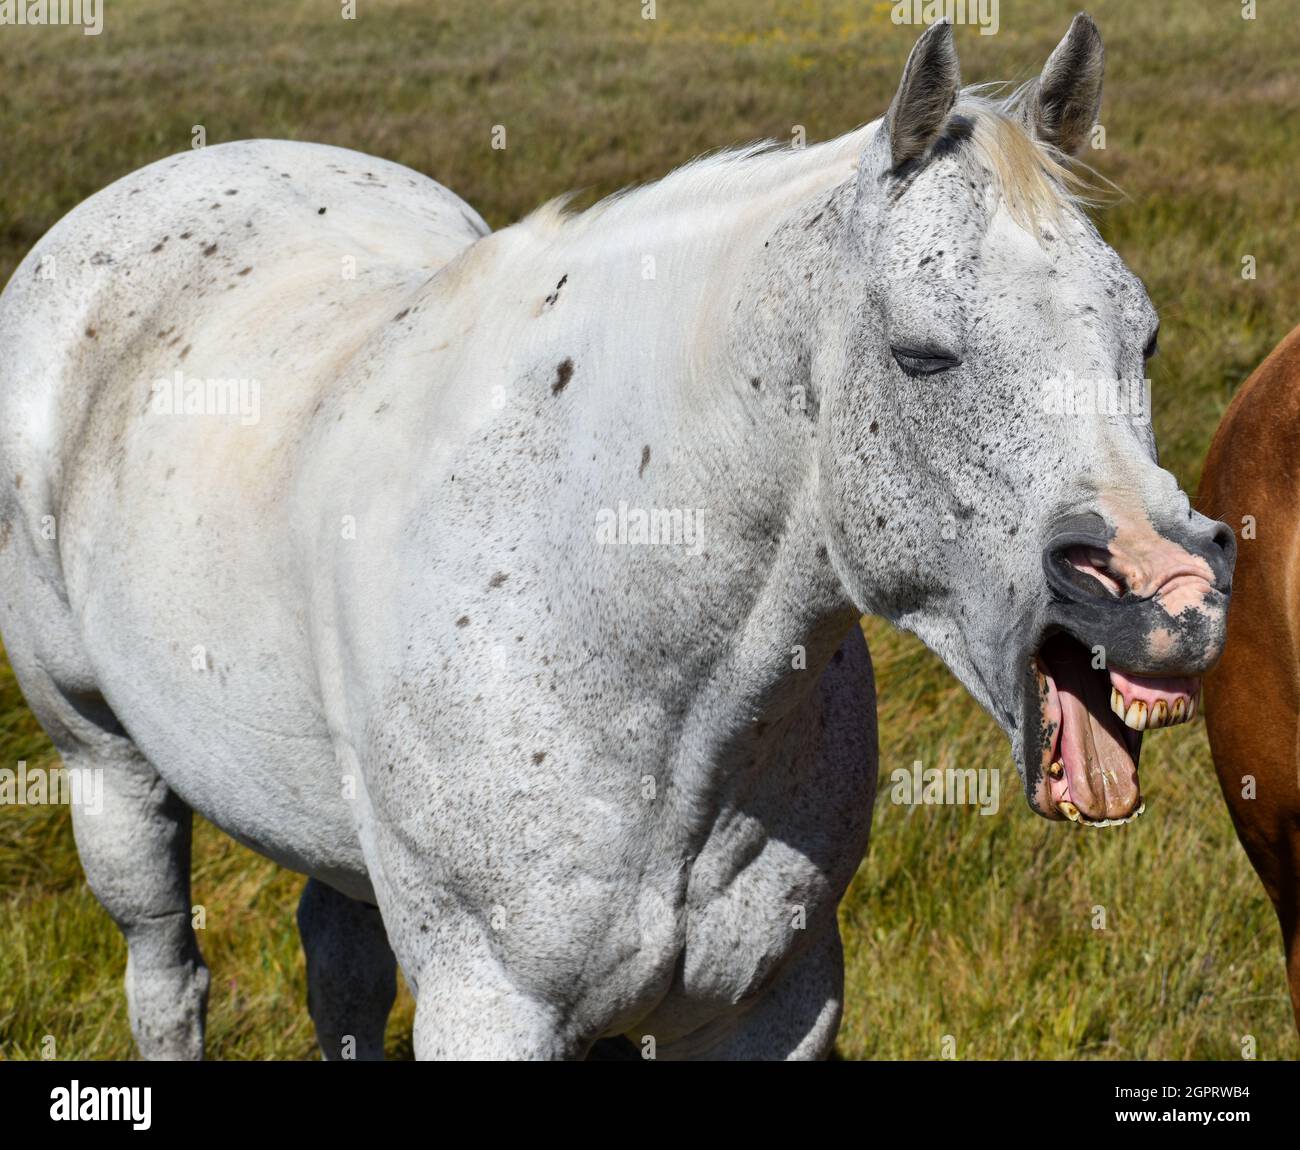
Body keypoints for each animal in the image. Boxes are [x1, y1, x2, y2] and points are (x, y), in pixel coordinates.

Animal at [0, 14, 1234, 1060]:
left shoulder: (775, 1003)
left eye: (1144, 337)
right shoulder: (491, 1006)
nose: (1167, 593)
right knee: (167, 974)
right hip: (106, 767)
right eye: (921, 356)